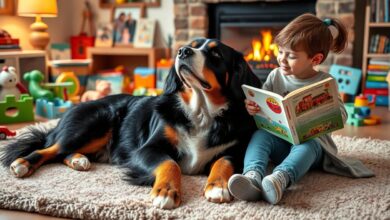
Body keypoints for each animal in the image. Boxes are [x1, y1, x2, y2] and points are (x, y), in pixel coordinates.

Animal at [0, 38, 262, 210]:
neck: (201, 112)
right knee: (50, 149)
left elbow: (222, 162)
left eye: (216, 55)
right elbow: (169, 163)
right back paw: (23, 163)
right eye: (193, 44)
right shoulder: (146, 149)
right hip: (92, 123)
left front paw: (217, 186)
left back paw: (78, 160)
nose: (183, 51)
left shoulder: (235, 151)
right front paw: (166, 191)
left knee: (61, 153)